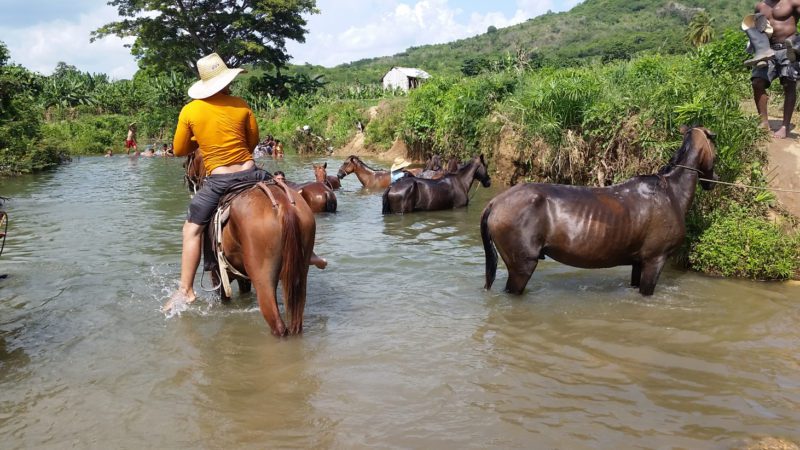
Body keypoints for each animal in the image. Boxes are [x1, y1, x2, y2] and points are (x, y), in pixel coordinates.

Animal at [184, 149, 316, 336]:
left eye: (188, 158)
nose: (187, 179)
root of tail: (284, 206)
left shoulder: (218, 275)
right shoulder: (242, 277)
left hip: (262, 277)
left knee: (278, 325)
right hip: (299, 272)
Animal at [482, 125, 720, 296]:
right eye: (715, 150)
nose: (714, 180)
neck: (670, 192)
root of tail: (495, 202)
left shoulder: (638, 262)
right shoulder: (655, 260)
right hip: (522, 267)